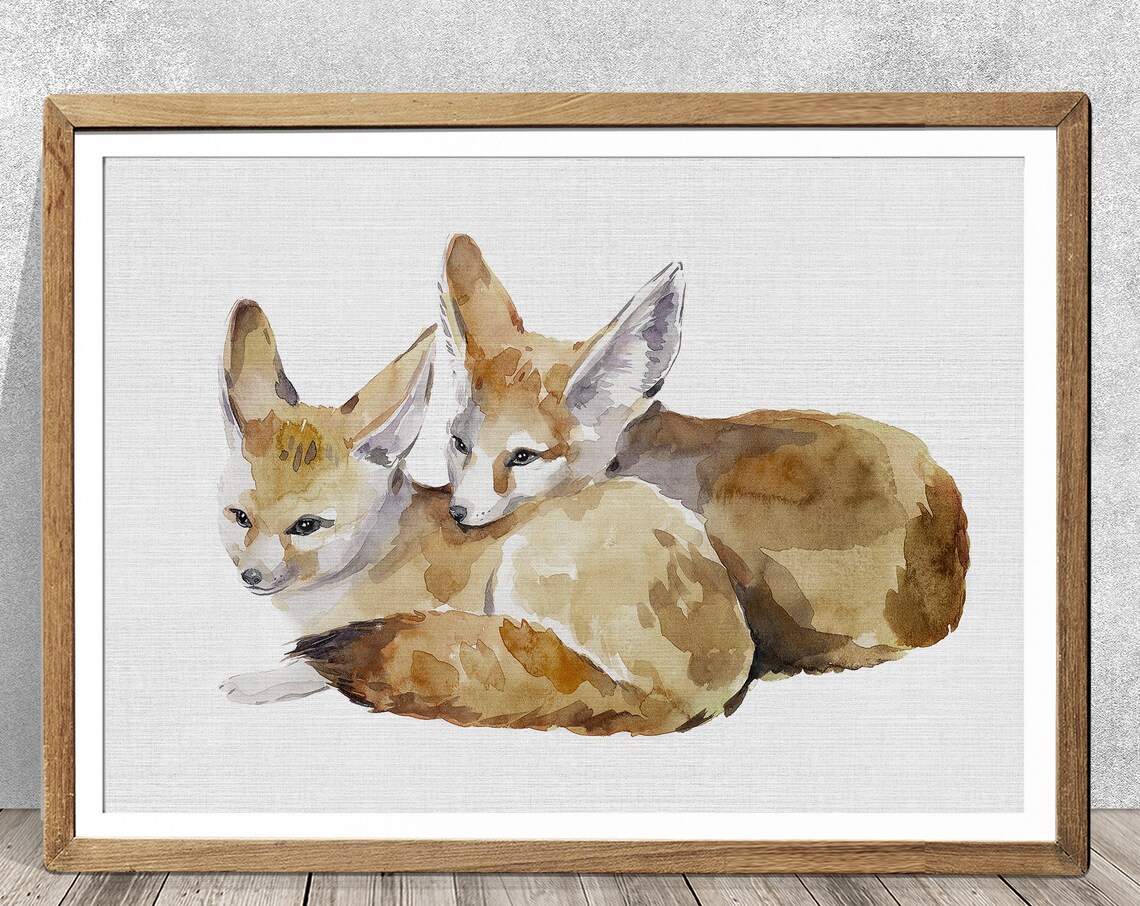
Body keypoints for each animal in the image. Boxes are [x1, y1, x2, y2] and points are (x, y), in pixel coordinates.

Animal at [216, 298, 754, 734]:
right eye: (240, 518)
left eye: (306, 526)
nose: (251, 576)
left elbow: (311, 666)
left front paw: (260, 681)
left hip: (524, 569)